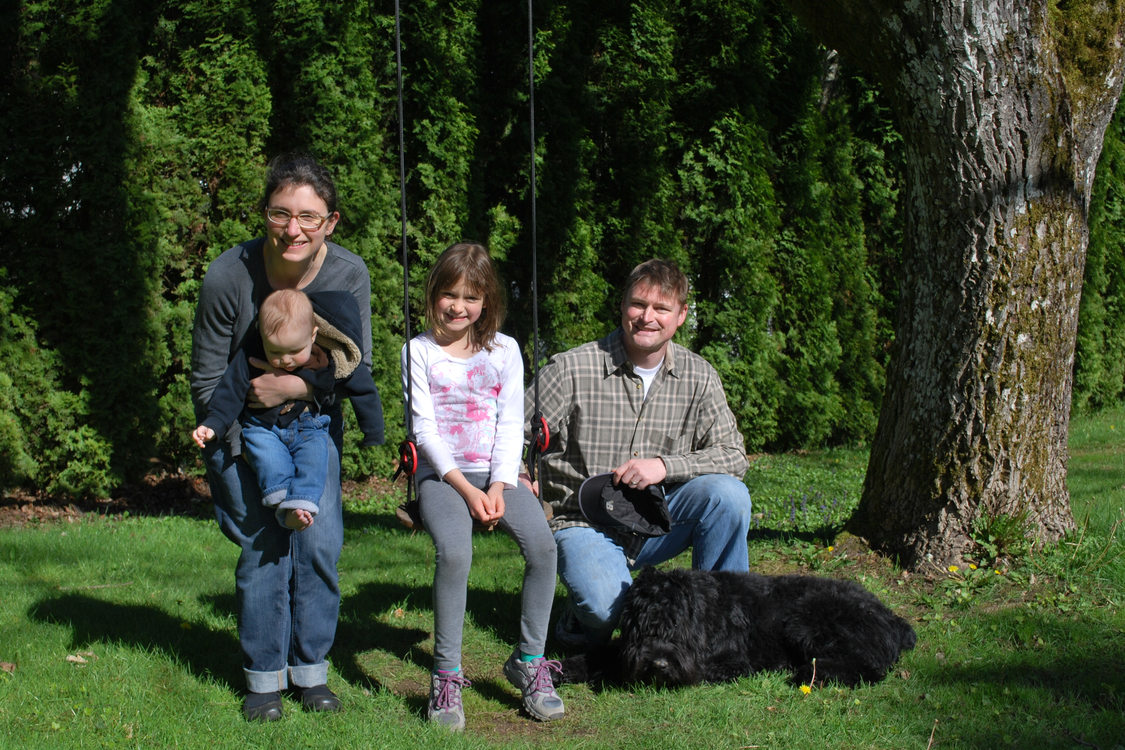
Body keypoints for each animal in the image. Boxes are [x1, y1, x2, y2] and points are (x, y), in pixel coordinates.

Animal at [558, 566, 918, 688]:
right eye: (640, 627)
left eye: (678, 627)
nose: (657, 663)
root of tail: (893, 618)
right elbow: (605, 653)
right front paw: (564, 668)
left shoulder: (730, 663)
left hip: (805, 622)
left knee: (868, 667)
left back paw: (810, 674)